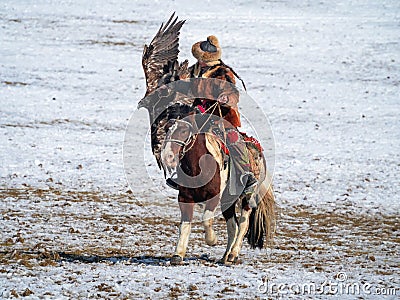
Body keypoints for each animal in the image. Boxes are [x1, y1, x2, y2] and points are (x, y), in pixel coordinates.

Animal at [160, 106, 276, 264]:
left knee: (243, 223)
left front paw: (212, 240)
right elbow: (184, 225)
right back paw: (225, 256)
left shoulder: (214, 196)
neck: (200, 166)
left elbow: (206, 219)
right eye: (167, 129)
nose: (167, 157)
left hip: (247, 197)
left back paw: (233, 254)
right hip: (228, 201)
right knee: (232, 225)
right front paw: (178, 254)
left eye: (184, 130)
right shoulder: (184, 198)